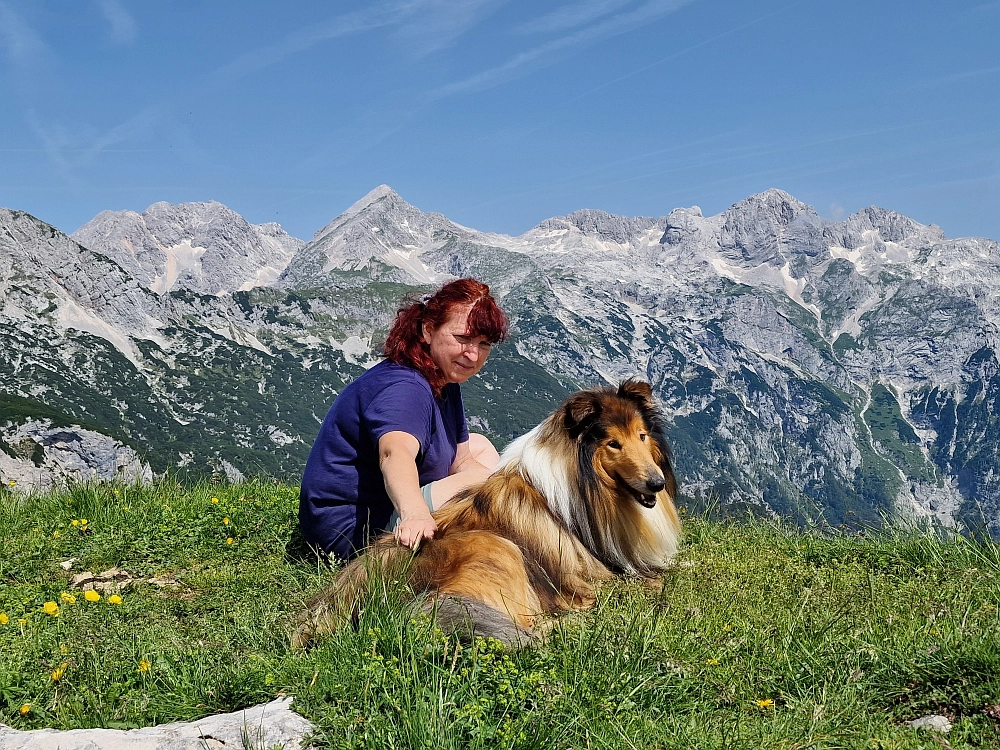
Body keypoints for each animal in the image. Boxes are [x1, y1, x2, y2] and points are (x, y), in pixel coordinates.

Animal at [290, 378, 680, 648]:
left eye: (642, 435)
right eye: (613, 443)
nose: (657, 483)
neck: (584, 487)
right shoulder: (591, 576)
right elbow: (653, 582)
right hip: (497, 550)